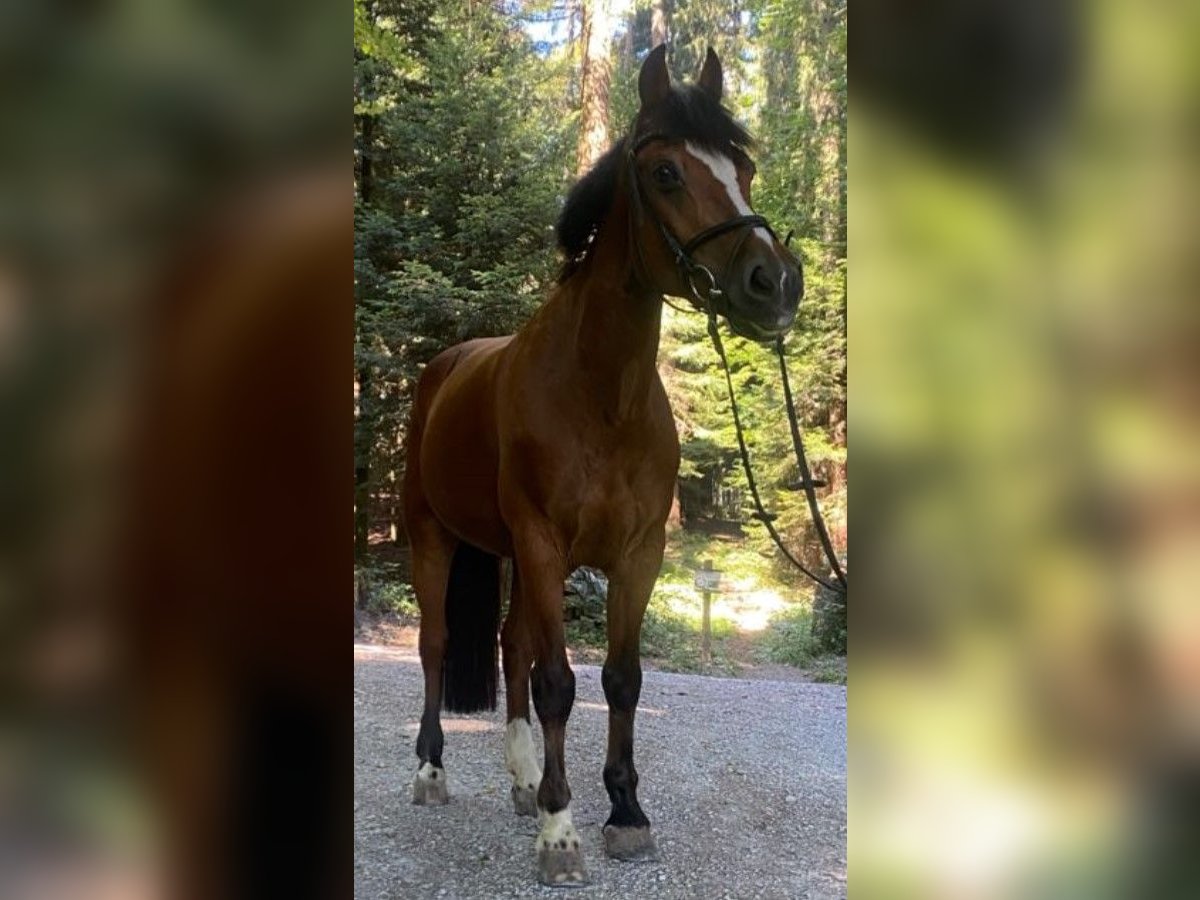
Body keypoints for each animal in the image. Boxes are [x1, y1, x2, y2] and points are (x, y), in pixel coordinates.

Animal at [400, 44, 796, 888]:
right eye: (667, 173)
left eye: (744, 167)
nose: (774, 283)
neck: (601, 395)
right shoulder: (546, 544)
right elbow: (558, 682)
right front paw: (561, 832)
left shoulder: (639, 552)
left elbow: (620, 678)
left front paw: (624, 812)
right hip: (435, 537)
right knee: (439, 643)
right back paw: (433, 773)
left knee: (510, 644)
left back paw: (522, 781)